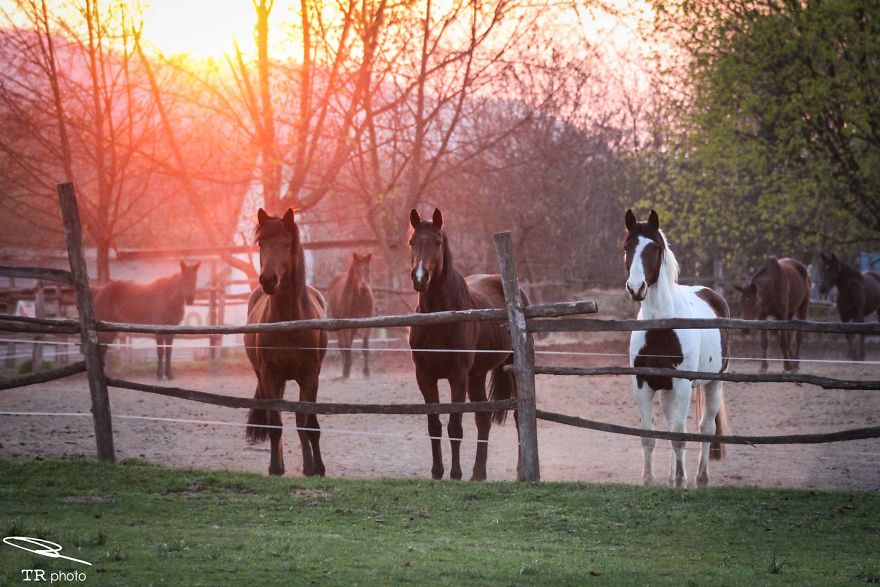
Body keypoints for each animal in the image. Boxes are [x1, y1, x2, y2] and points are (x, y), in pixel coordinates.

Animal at [244, 208, 328, 477]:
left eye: (286, 243)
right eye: (261, 243)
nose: (268, 280)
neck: (288, 321)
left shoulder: (310, 377)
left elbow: (308, 424)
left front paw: (317, 467)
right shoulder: (270, 377)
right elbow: (275, 425)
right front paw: (275, 468)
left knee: (301, 420)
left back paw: (309, 465)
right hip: (269, 379)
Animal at [408, 208, 526, 481]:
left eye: (437, 242)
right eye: (411, 242)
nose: (419, 277)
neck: (439, 318)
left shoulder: (457, 376)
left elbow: (455, 426)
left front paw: (455, 473)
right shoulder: (425, 376)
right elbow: (434, 425)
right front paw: (437, 471)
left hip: (509, 367)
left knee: (518, 417)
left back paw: (519, 470)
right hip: (477, 375)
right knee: (483, 419)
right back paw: (478, 473)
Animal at [624, 209, 729, 487]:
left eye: (653, 248)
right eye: (627, 247)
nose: (635, 288)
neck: (661, 327)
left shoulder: (682, 384)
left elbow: (680, 434)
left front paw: (682, 480)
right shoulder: (643, 384)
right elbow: (649, 435)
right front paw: (648, 480)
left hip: (713, 383)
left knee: (706, 428)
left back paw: (700, 478)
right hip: (667, 391)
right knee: (672, 424)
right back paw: (672, 477)